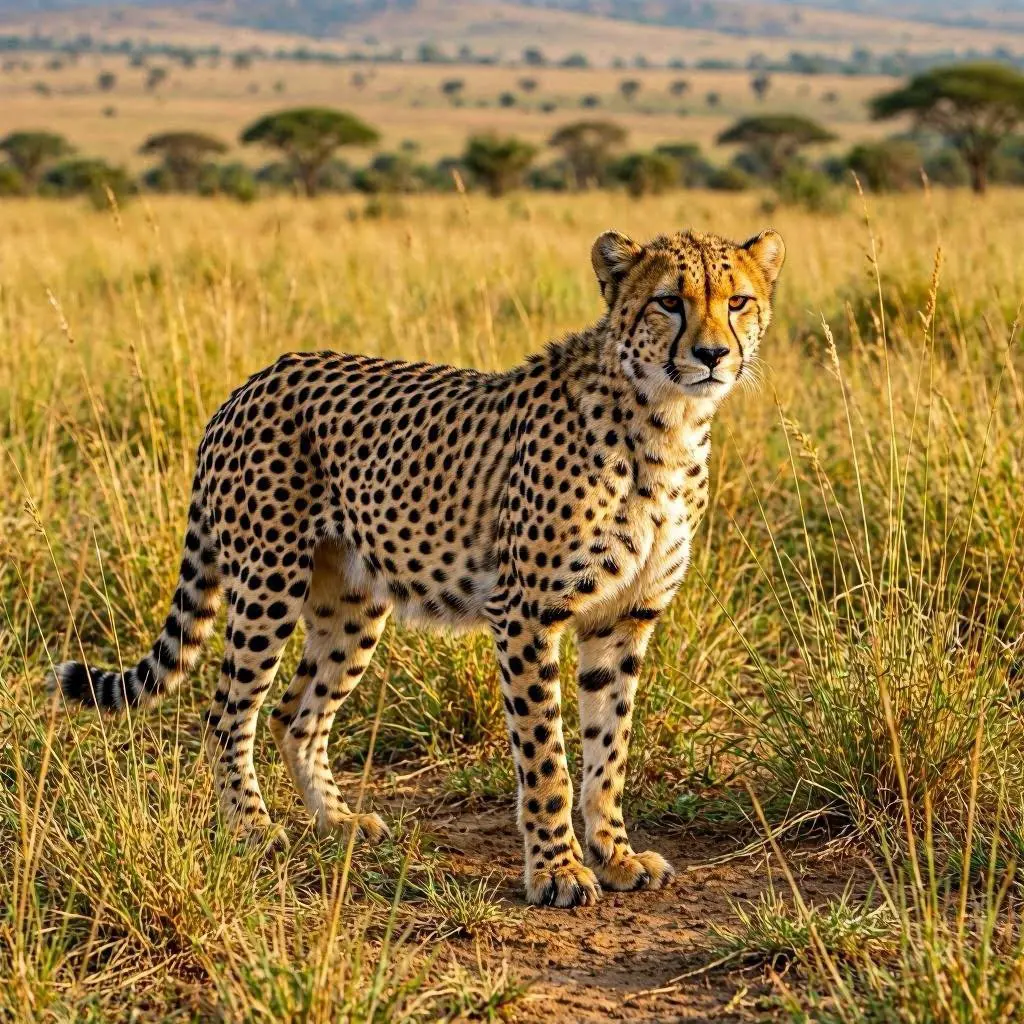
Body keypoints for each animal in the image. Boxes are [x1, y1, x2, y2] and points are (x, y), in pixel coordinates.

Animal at [47, 226, 785, 908]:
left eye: (737, 301)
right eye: (669, 302)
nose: (713, 355)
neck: (668, 421)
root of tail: (253, 380)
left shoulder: (623, 620)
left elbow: (610, 750)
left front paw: (615, 854)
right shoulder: (525, 614)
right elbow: (547, 759)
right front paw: (557, 871)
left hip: (352, 603)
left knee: (296, 714)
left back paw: (338, 821)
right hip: (268, 583)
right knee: (228, 713)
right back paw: (251, 827)